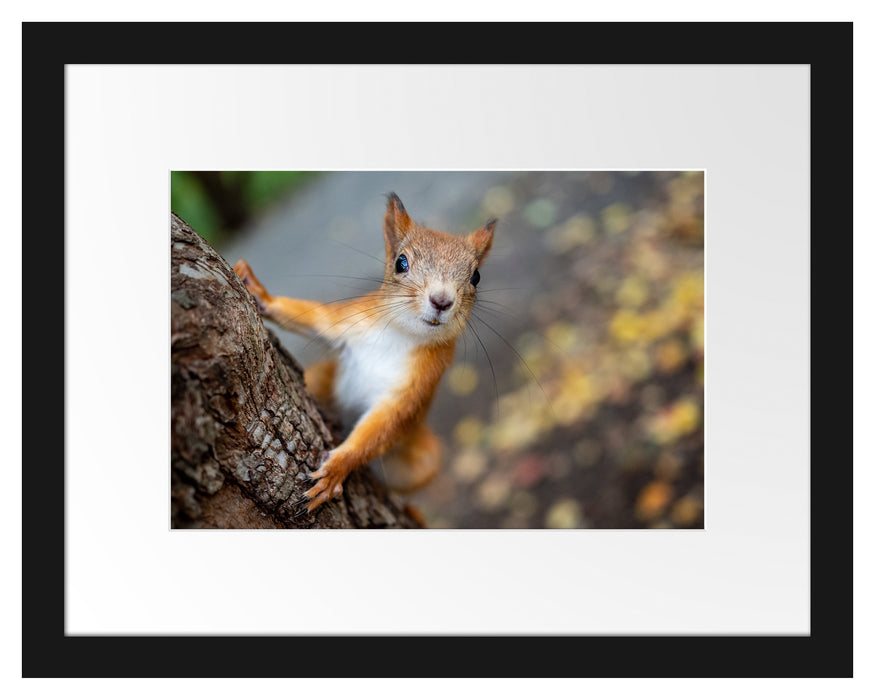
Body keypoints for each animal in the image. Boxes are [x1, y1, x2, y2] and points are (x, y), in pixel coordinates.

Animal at [233, 193, 496, 512]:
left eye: (477, 276)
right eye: (401, 262)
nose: (441, 300)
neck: (401, 335)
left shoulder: (419, 384)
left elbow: (384, 425)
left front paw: (336, 469)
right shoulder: (351, 320)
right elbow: (316, 318)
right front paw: (258, 291)